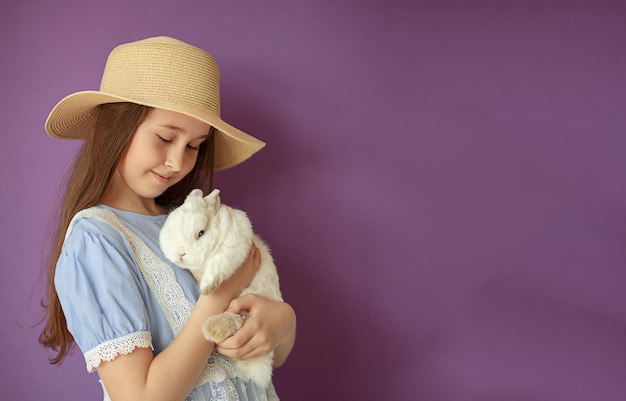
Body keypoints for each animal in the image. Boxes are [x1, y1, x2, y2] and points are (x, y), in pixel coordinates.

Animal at [160, 188, 282, 388]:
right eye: (171, 231)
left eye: (201, 232)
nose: (180, 253)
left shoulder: (231, 249)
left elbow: (218, 265)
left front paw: (206, 288)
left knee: (238, 320)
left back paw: (213, 329)